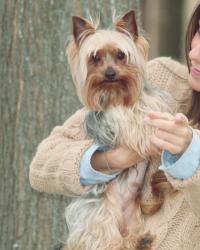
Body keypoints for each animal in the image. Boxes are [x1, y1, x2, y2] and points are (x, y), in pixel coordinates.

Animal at [63, 10, 175, 250]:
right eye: (95, 58)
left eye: (121, 55)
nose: (110, 73)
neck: (119, 94)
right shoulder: (116, 121)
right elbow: (137, 127)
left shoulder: (154, 103)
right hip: (98, 210)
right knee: (103, 235)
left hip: (134, 216)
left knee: (129, 236)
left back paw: (140, 239)